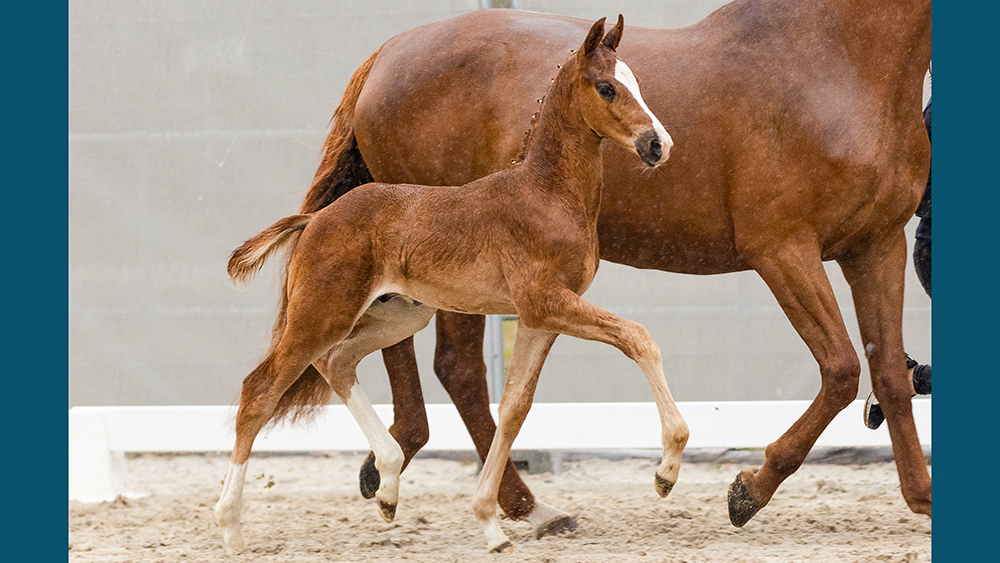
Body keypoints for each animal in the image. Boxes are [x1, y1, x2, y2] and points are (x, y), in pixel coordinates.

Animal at [216, 16, 687, 554]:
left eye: (637, 82)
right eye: (607, 87)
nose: (659, 145)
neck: (546, 194)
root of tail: (314, 219)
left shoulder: (541, 318)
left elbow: (514, 409)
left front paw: (492, 525)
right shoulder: (546, 302)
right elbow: (638, 338)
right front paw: (666, 473)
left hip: (397, 314)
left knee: (336, 362)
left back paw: (388, 489)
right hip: (324, 312)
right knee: (259, 391)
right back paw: (231, 529)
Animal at [296, 0, 932, 531]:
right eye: (605, 87)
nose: (656, 144)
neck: (833, 61)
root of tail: (387, 54)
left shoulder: (876, 246)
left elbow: (890, 374)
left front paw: (923, 497)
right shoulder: (783, 250)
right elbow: (842, 369)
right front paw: (749, 490)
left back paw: (395, 467)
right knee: (456, 368)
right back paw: (515, 502)